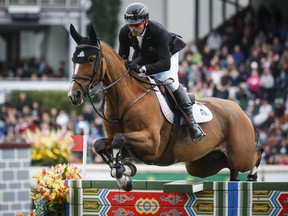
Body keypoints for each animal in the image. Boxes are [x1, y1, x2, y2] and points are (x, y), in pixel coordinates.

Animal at [67, 24, 264, 192]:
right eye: (73, 59)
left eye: (91, 58)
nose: (73, 95)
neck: (124, 98)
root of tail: (239, 109)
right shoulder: (118, 139)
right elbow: (101, 144)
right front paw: (125, 171)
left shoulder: (151, 142)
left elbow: (119, 140)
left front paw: (123, 174)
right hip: (200, 164)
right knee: (230, 168)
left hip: (240, 154)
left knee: (255, 154)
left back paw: (253, 176)